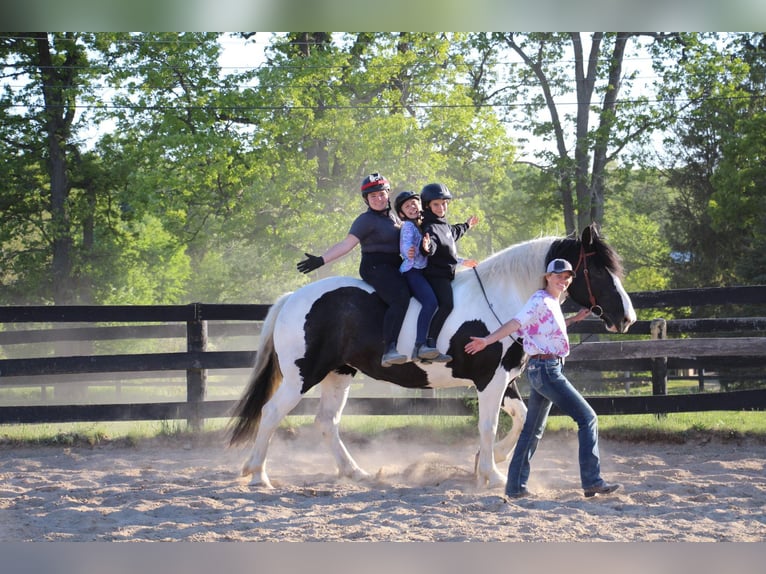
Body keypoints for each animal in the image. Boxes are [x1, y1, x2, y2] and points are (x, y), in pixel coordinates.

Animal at [231, 225, 640, 490]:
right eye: (598, 268)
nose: (626, 317)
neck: (503, 299)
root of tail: (292, 298)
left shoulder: (503, 379)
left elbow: (521, 418)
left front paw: (487, 463)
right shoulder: (489, 380)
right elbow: (489, 425)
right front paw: (492, 474)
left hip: (339, 374)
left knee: (326, 421)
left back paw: (355, 473)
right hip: (303, 375)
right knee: (271, 413)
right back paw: (258, 474)